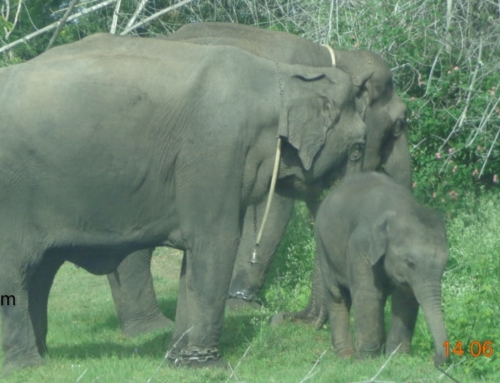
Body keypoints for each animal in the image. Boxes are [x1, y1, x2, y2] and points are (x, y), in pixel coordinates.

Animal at [0, 33, 368, 376]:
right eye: (358, 150)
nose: (281, 320)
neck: (283, 76)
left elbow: (195, 258)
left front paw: (179, 361)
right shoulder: (215, 149)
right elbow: (216, 243)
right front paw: (210, 366)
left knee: (41, 272)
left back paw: (42, 359)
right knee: (16, 271)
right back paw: (26, 366)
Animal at [99, 21, 408, 340]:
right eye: (399, 125)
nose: (284, 320)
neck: (338, 58)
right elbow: (273, 209)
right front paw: (241, 304)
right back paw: (152, 328)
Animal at [310, 173, 448, 366]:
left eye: (445, 264)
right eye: (411, 264)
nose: (436, 359)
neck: (399, 209)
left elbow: (405, 298)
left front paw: (397, 358)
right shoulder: (361, 245)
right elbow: (368, 294)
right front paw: (366, 362)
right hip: (323, 248)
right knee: (337, 294)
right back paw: (346, 356)